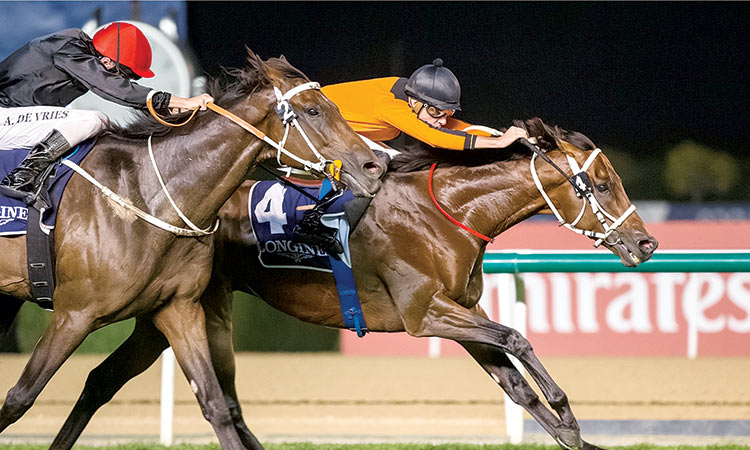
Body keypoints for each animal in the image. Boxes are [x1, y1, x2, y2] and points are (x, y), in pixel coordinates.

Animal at [0, 50, 385, 449]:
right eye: (312, 110)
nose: (374, 166)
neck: (147, 194)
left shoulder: (179, 309)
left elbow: (215, 402)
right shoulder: (73, 314)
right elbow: (20, 397)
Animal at [43, 118, 656, 450]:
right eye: (603, 184)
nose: (647, 244)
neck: (448, 212)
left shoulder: (460, 312)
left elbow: (515, 382)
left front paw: (574, 434)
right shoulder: (424, 313)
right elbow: (516, 337)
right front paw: (569, 413)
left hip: (179, 309)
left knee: (106, 380)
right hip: (173, 309)